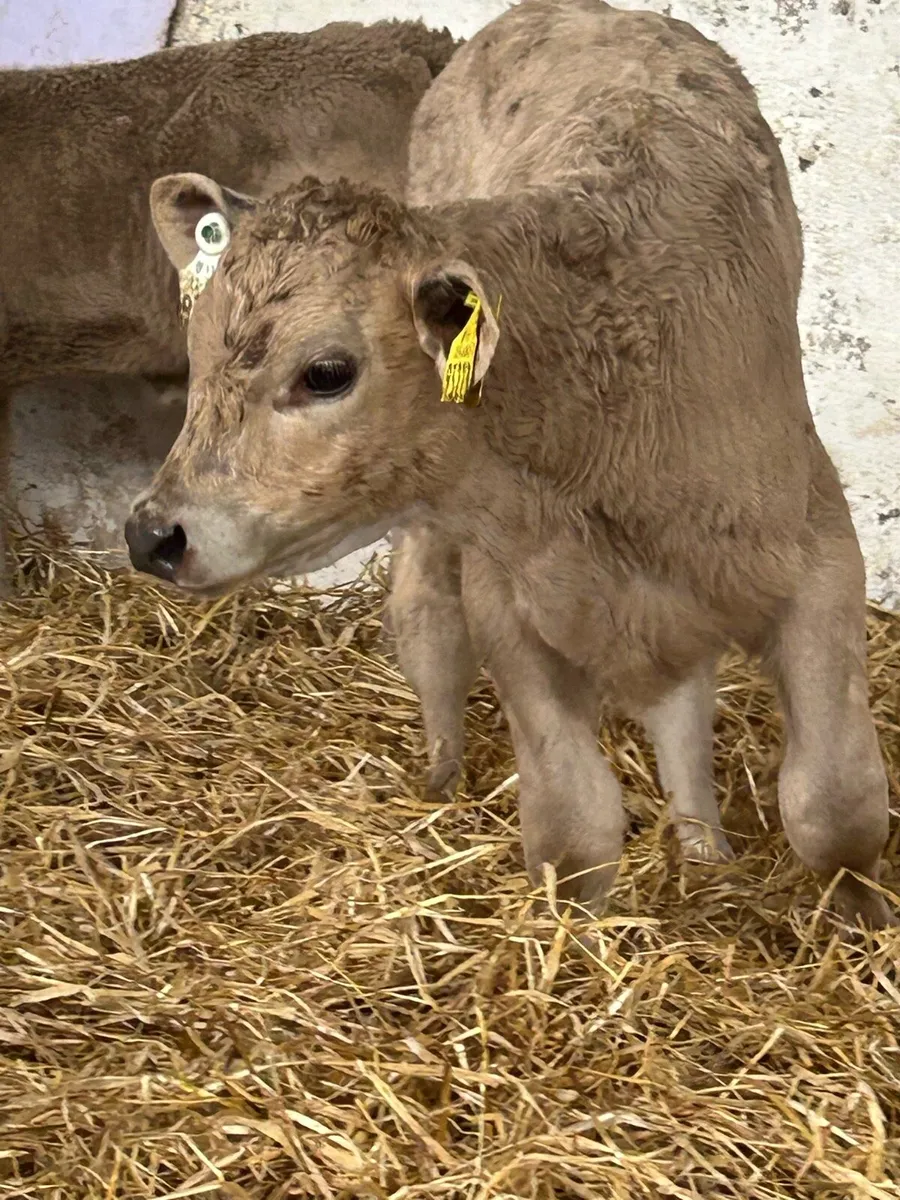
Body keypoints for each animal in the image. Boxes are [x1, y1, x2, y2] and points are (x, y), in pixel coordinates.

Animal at [126, 0, 894, 928]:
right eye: (198, 350)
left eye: (326, 372)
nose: (153, 534)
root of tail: (568, 13)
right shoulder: (512, 604)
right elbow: (574, 828)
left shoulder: (819, 560)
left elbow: (833, 805)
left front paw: (860, 925)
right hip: (434, 541)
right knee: (427, 617)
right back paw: (443, 777)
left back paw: (702, 847)